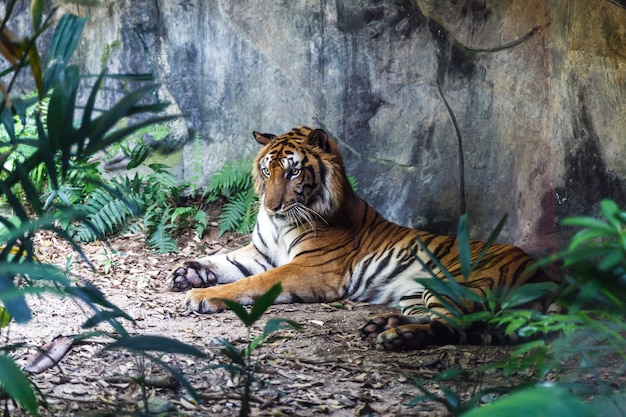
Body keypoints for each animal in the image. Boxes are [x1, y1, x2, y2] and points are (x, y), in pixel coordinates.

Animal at [166, 125, 552, 350]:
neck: (279, 224)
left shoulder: (310, 269)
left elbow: (251, 283)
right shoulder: (261, 252)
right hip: (417, 293)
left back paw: (398, 336)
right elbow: (225, 260)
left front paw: (202, 295)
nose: (272, 206)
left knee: (453, 325)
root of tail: (541, 271)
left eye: (293, 172)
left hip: (453, 285)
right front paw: (186, 273)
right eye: (266, 170)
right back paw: (385, 324)